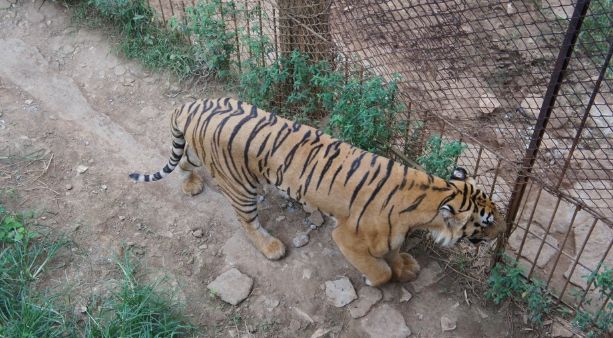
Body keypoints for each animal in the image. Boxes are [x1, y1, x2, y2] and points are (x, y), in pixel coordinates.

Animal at [128, 97, 502, 286]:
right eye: (486, 221)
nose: (500, 232)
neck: (433, 194)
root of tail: (192, 105)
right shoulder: (347, 238)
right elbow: (380, 272)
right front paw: (379, 279)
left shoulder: (393, 236)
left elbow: (393, 253)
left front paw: (405, 267)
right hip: (241, 184)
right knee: (247, 220)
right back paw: (271, 246)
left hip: (203, 150)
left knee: (184, 159)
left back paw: (191, 182)